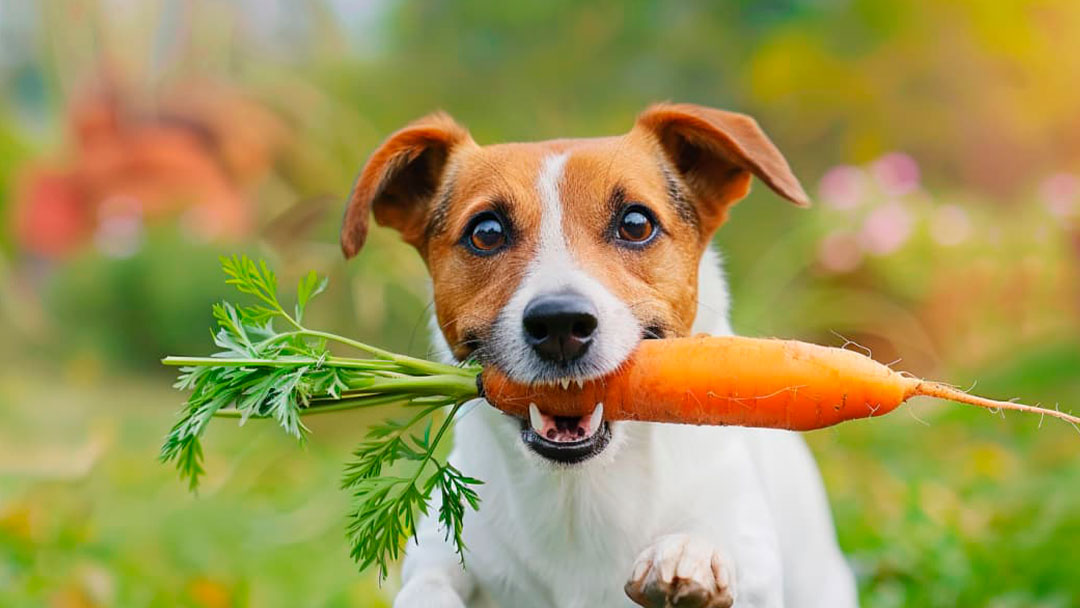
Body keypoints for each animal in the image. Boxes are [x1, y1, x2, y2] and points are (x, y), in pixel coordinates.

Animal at [341, 104, 855, 608]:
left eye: (636, 223)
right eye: (486, 232)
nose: (559, 324)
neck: (580, 489)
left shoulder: (748, 547)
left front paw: (688, 554)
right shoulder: (440, 550)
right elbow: (427, 583)